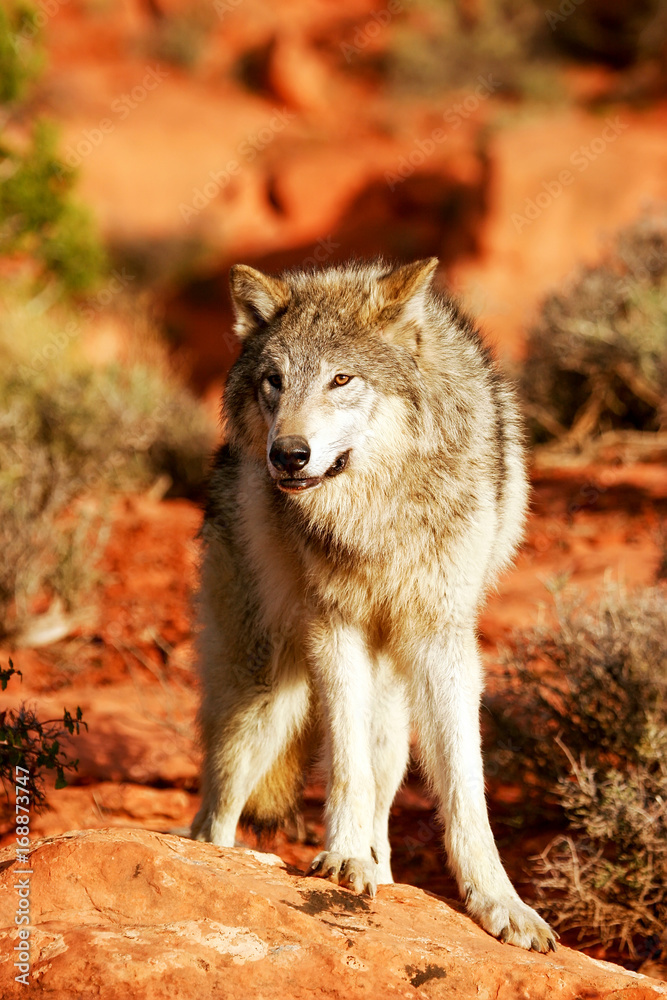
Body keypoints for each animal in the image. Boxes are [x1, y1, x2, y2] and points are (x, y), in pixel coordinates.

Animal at [191, 257, 556, 952]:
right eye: (275, 381)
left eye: (341, 378)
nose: (288, 455)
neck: (376, 513)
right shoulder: (334, 629)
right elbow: (344, 767)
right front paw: (342, 858)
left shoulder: (443, 639)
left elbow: (466, 786)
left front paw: (500, 903)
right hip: (265, 698)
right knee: (212, 816)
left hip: (390, 711)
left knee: (383, 789)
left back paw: (384, 876)